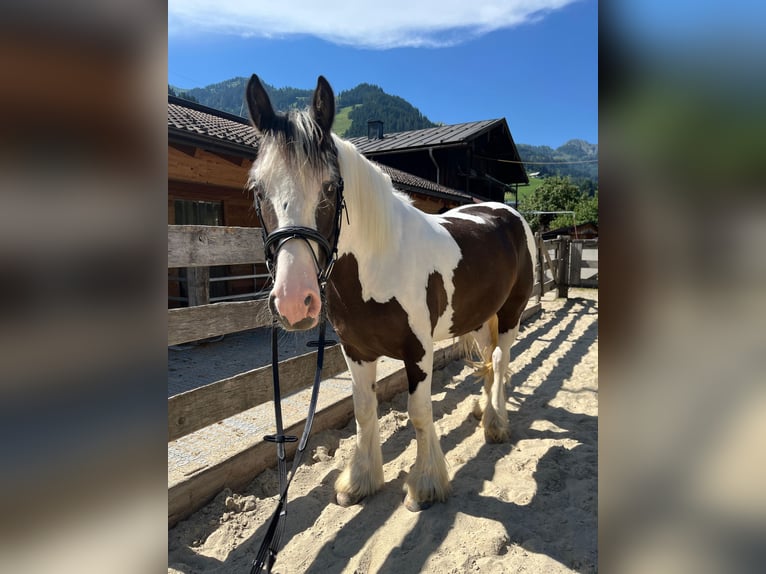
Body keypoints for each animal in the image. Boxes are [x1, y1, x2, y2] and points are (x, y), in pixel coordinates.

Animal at [246, 74, 536, 512]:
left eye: (329, 187)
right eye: (258, 190)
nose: (295, 301)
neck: (379, 265)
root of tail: (506, 212)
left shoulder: (419, 352)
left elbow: (419, 413)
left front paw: (426, 484)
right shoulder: (356, 351)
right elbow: (365, 411)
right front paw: (360, 481)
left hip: (512, 312)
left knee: (501, 361)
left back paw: (496, 424)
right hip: (481, 315)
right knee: (489, 360)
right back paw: (483, 412)